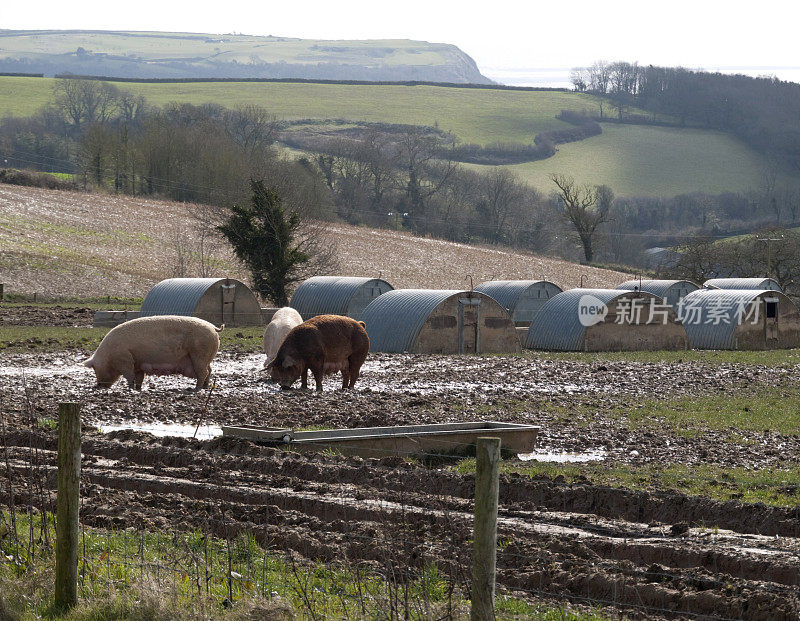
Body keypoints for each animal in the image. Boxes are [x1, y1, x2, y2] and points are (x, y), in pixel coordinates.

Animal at [82, 318, 222, 390]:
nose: (98, 385)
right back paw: (205, 387)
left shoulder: (124, 359)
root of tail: (213, 328)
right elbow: (139, 377)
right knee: (209, 370)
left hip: (199, 354)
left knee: (203, 372)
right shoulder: (137, 363)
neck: (108, 357)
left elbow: (129, 376)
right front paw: (138, 389)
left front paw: (130, 389)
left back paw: (195, 389)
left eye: (95, 369)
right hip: (206, 357)